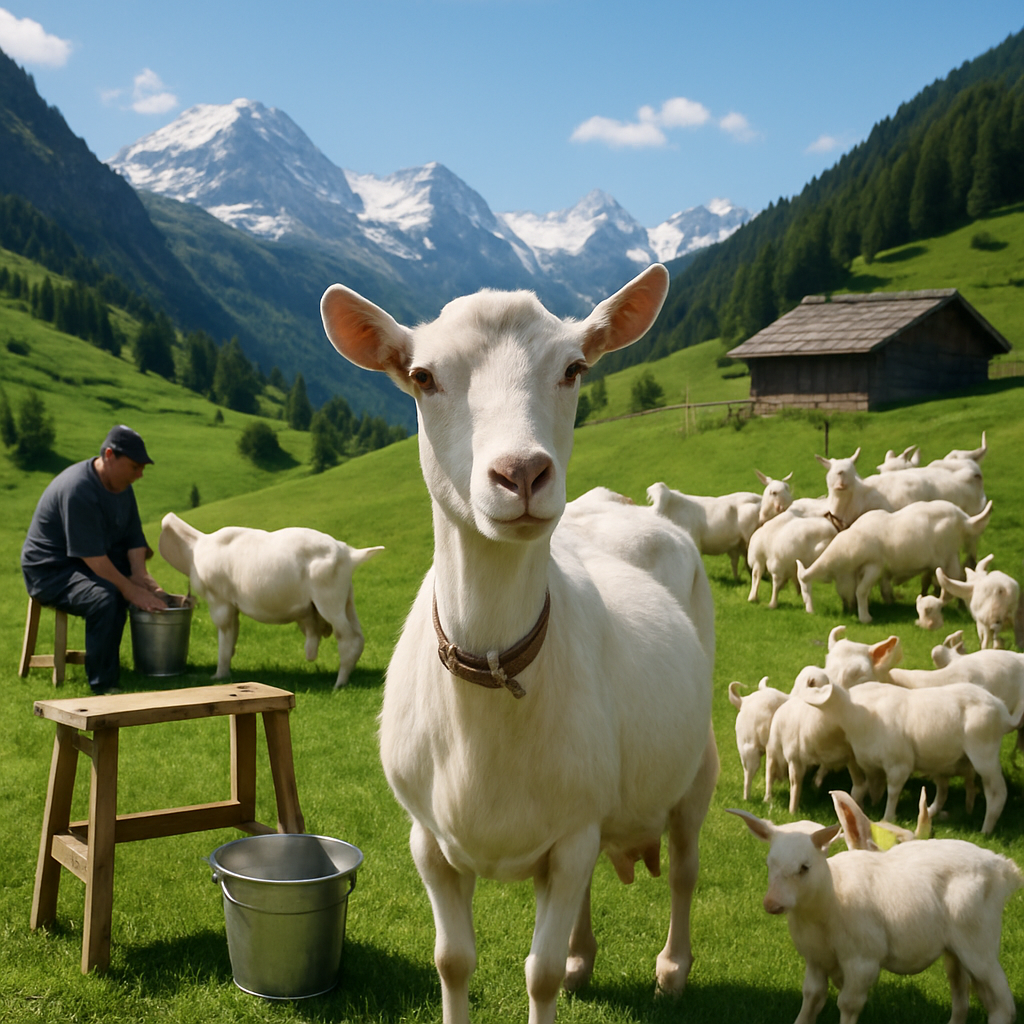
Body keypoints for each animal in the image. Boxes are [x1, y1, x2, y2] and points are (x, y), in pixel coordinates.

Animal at [321, 264, 719, 1024]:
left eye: (574, 368)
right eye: (422, 376)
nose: (523, 473)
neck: (491, 675)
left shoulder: (571, 832)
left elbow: (536, 974)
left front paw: (564, 971)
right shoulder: (430, 838)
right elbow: (453, 961)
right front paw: (550, 964)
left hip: (697, 762)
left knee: (685, 867)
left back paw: (674, 968)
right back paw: (584, 958)